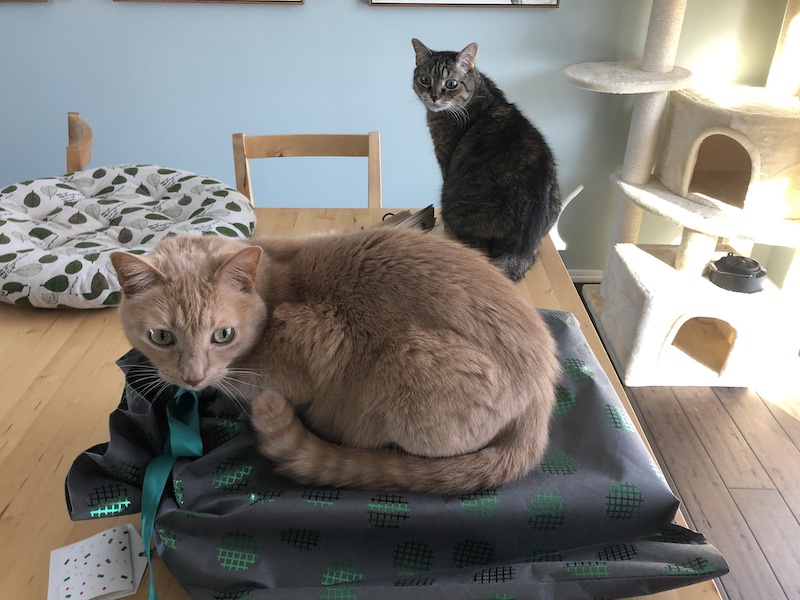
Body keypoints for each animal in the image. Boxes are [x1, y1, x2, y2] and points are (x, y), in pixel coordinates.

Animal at [109, 227, 560, 494]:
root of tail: (543, 393)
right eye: (161, 337)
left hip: (409, 360)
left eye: (223, 335)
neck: (272, 290)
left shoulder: (318, 338)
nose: (192, 377)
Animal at [412, 38, 564, 282]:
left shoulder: (445, 158)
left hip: (452, 202)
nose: (434, 96)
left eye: (451, 83)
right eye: (425, 79)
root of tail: (521, 246)